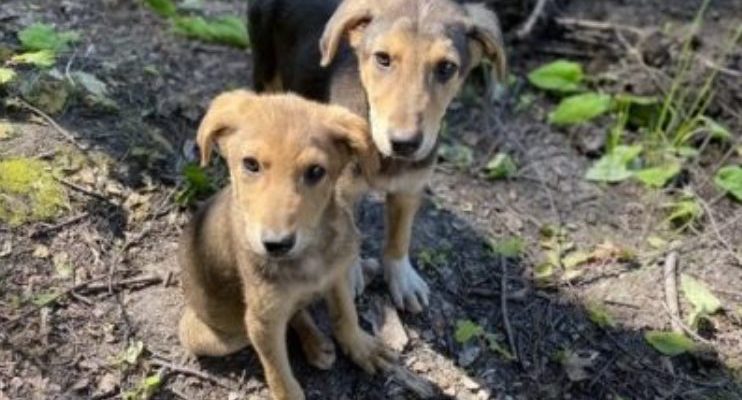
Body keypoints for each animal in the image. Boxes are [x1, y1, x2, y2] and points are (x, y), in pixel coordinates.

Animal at [179, 90, 396, 400]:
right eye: (250, 164)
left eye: (316, 171)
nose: (276, 244)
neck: (310, 253)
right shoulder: (262, 321)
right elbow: (278, 372)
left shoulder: (338, 274)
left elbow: (346, 314)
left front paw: (360, 346)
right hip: (213, 334)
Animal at [247, 0, 508, 312]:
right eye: (383, 59)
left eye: (446, 67)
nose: (405, 143)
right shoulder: (340, 193)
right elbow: (349, 238)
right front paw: (349, 275)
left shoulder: (409, 189)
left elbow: (400, 236)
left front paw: (402, 278)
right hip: (265, 64)